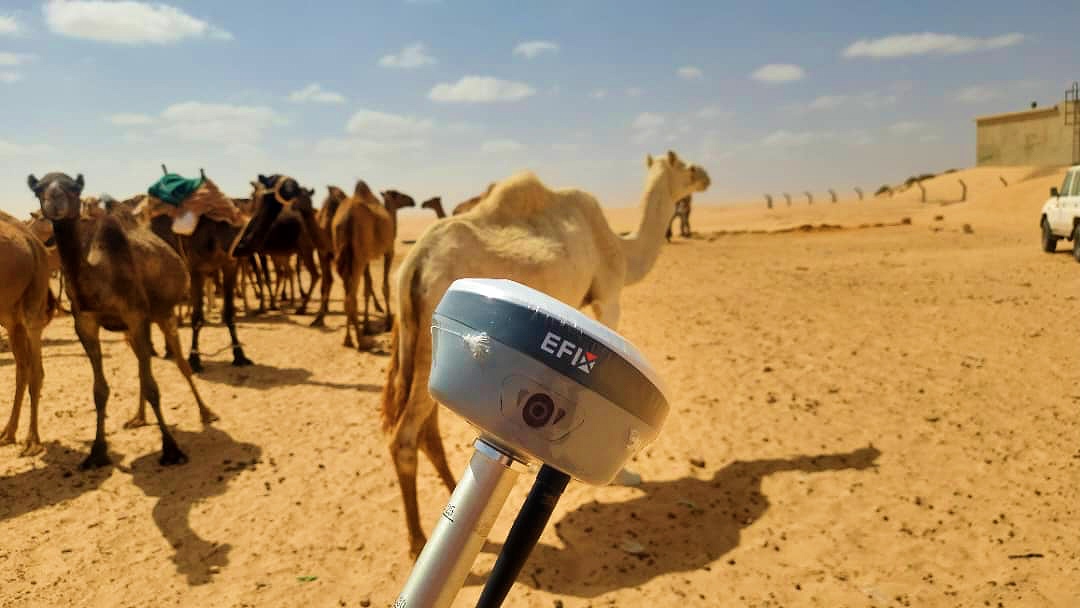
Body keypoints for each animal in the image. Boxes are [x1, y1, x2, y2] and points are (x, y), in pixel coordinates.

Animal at [27, 172, 217, 469]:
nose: (54, 200)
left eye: (73, 188)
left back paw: (206, 413)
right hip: (134, 328)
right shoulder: (86, 324)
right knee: (141, 364)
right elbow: (100, 390)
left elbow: (152, 385)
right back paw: (138, 418)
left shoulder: (136, 314)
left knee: (181, 365)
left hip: (163, 314)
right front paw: (96, 452)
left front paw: (171, 449)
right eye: (38, 189)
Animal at [380, 150, 711, 557]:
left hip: (419, 339)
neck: (620, 247)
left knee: (428, 429)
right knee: (405, 436)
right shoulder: (609, 295)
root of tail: (413, 265)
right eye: (689, 169)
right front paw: (627, 474)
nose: (707, 177)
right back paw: (417, 541)